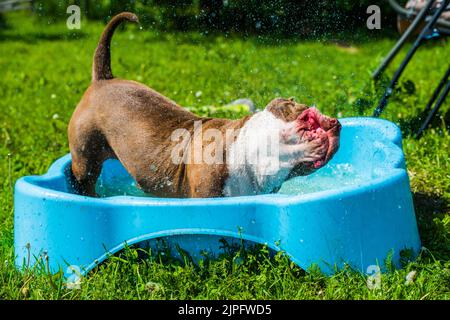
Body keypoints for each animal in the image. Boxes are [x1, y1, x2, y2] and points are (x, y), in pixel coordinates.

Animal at [67, 13, 342, 198]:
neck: (247, 152)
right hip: (86, 155)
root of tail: (103, 79)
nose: (336, 123)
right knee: (83, 175)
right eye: (308, 120)